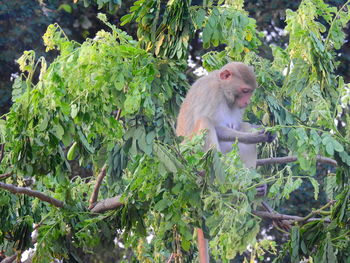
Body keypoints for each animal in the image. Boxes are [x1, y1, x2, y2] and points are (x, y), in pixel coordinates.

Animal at [176, 62, 272, 263]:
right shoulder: (210, 93)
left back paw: (250, 188)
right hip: (194, 157)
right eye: (245, 91)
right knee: (205, 121)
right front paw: (256, 135)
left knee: (241, 126)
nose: (246, 102)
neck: (222, 90)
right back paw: (224, 182)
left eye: (250, 92)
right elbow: (216, 126)